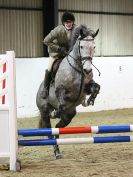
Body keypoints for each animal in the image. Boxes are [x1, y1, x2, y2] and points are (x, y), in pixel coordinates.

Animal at [35, 25, 100, 159]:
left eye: (94, 46)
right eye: (82, 46)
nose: (88, 69)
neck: (79, 68)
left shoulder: (86, 88)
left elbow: (96, 87)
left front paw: (91, 100)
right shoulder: (61, 89)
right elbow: (61, 101)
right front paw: (57, 111)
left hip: (69, 116)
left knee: (56, 128)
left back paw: (58, 150)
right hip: (44, 110)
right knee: (49, 128)